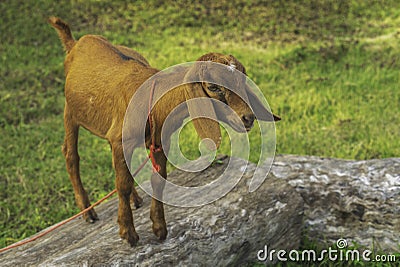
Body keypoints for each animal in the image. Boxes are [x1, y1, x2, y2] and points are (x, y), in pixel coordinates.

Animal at [48, 16, 280, 247]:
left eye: (243, 81)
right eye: (213, 87)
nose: (248, 118)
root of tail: (75, 43)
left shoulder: (159, 141)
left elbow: (158, 180)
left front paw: (159, 228)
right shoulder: (122, 140)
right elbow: (122, 184)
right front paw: (128, 232)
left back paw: (134, 199)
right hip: (70, 112)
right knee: (70, 155)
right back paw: (88, 211)